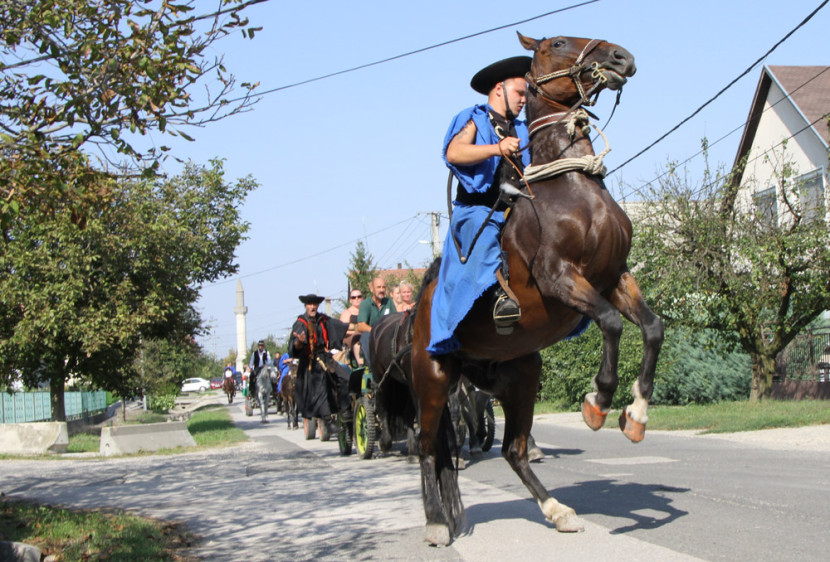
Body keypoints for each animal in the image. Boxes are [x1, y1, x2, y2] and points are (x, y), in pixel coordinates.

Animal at [412, 34, 668, 544]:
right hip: (433, 379)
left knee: (514, 449)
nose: (621, 58)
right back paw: (434, 522)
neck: (572, 189)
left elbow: (651, 328)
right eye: (557, 42)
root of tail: (412, 315)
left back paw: (557, 510)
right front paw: (598, 402)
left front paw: (636, 416)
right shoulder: (559, 277)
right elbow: (611, 323)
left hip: (521, 375)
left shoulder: (615, 277)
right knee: (428, 448)